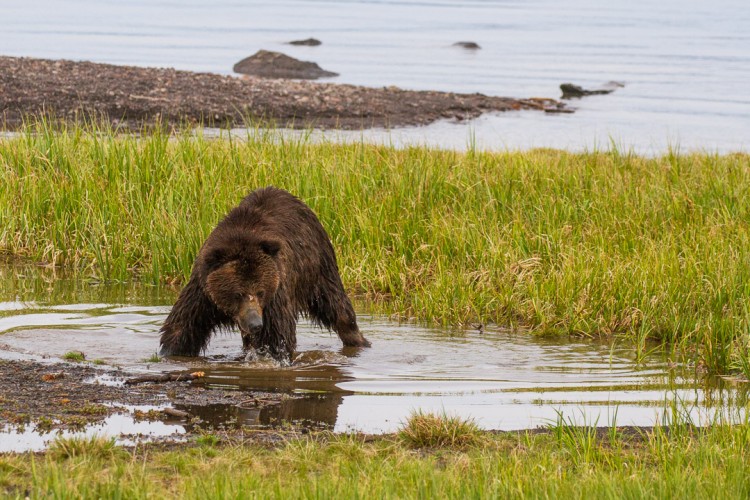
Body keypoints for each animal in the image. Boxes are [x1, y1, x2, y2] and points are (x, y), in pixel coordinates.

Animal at [160, 186, 372, 362]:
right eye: (238, 293)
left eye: (260, 292)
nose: (256, 324)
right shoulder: (203, 292)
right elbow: (183, 325)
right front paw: (171, 351)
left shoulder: (276, 292)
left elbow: (277, 335)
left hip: (318, 269)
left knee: (337, 306)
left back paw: (360, 340)